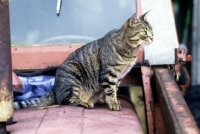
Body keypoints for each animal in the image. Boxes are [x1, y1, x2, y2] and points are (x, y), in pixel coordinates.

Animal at [14, 11, 153, 110]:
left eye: (152, 31)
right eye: (144, 33)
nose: (152, 38)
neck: (130, 51)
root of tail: (54, 88)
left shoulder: (119, 77)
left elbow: (114, 90)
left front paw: (112, 100)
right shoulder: (108, 74)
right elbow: (110, 90)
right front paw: (113, 103)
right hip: (74, 76)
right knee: (66, 100)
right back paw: (85, 102)